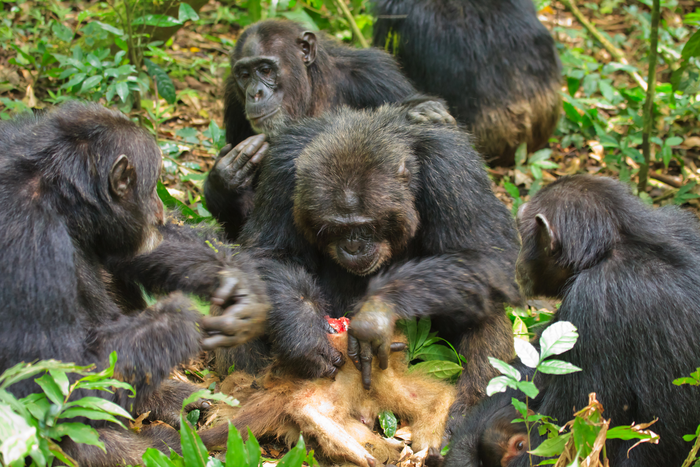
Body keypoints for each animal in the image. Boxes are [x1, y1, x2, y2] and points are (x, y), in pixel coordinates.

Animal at [0, 103, 268, 467]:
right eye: (153, 184)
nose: (159, 208)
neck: (61, 200)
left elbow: (138, 253)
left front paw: (241, 286)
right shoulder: (32, 242)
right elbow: (45, 371)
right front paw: (180, 318)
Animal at [202, 17, 454, 241]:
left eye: (265, 70)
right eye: (244, 75)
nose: (255, 93)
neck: (311, 94)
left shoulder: (377, 75)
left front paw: (426, 109)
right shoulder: (234, 101)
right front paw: (225, 179)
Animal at [216, 102, 524, 428]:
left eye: (367, 226)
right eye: (336, 228)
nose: (354, 246)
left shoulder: (453, 169)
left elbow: (487, 256)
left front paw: (375, 316)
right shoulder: (282, 168)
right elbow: (270, 253)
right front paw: (302, 333)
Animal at [446, 176, 700, 467]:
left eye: (523, 231)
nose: (517, 258)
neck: (618, 243)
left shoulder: (594, 302)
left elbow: (559, 439)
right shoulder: (682, 221)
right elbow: (535, 365)